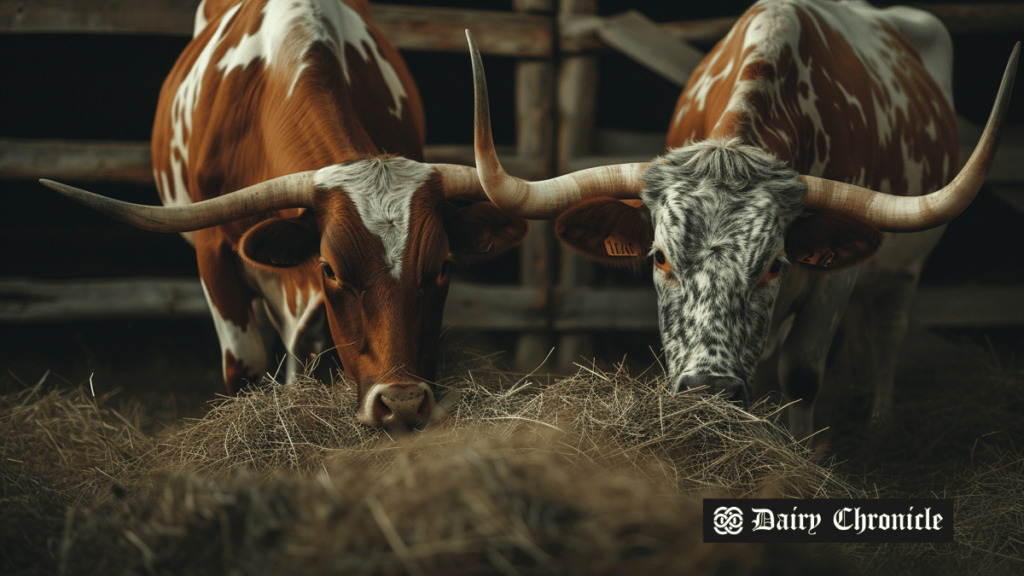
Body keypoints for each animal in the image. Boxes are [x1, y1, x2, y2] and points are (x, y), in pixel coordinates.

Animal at [468, 0, 1019, 436]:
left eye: (775, 264)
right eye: (660, 258)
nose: (710, 388)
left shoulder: (835, 281)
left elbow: (803, 372)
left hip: (905, 270)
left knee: (888, 333)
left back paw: (878, 422)